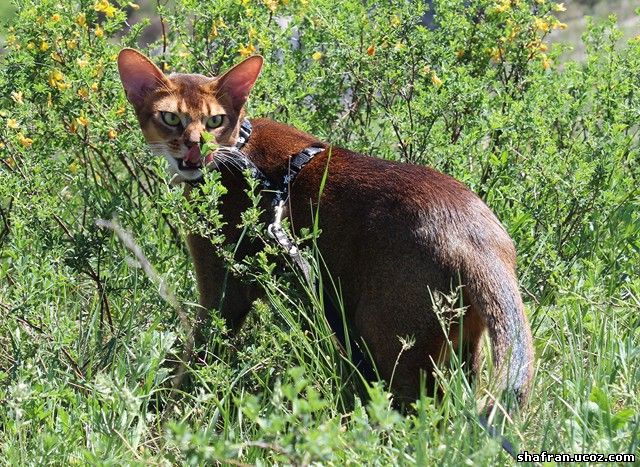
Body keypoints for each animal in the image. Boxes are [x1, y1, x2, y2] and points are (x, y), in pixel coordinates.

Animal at [117, 49, 532, 410]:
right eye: (171, 118)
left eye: (214, 121)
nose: (194, 146)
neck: (241, 146)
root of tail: (480, 238)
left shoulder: (224, 286)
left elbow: (199, 351)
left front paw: (167, 406)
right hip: (463, 344)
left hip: (389, 338)